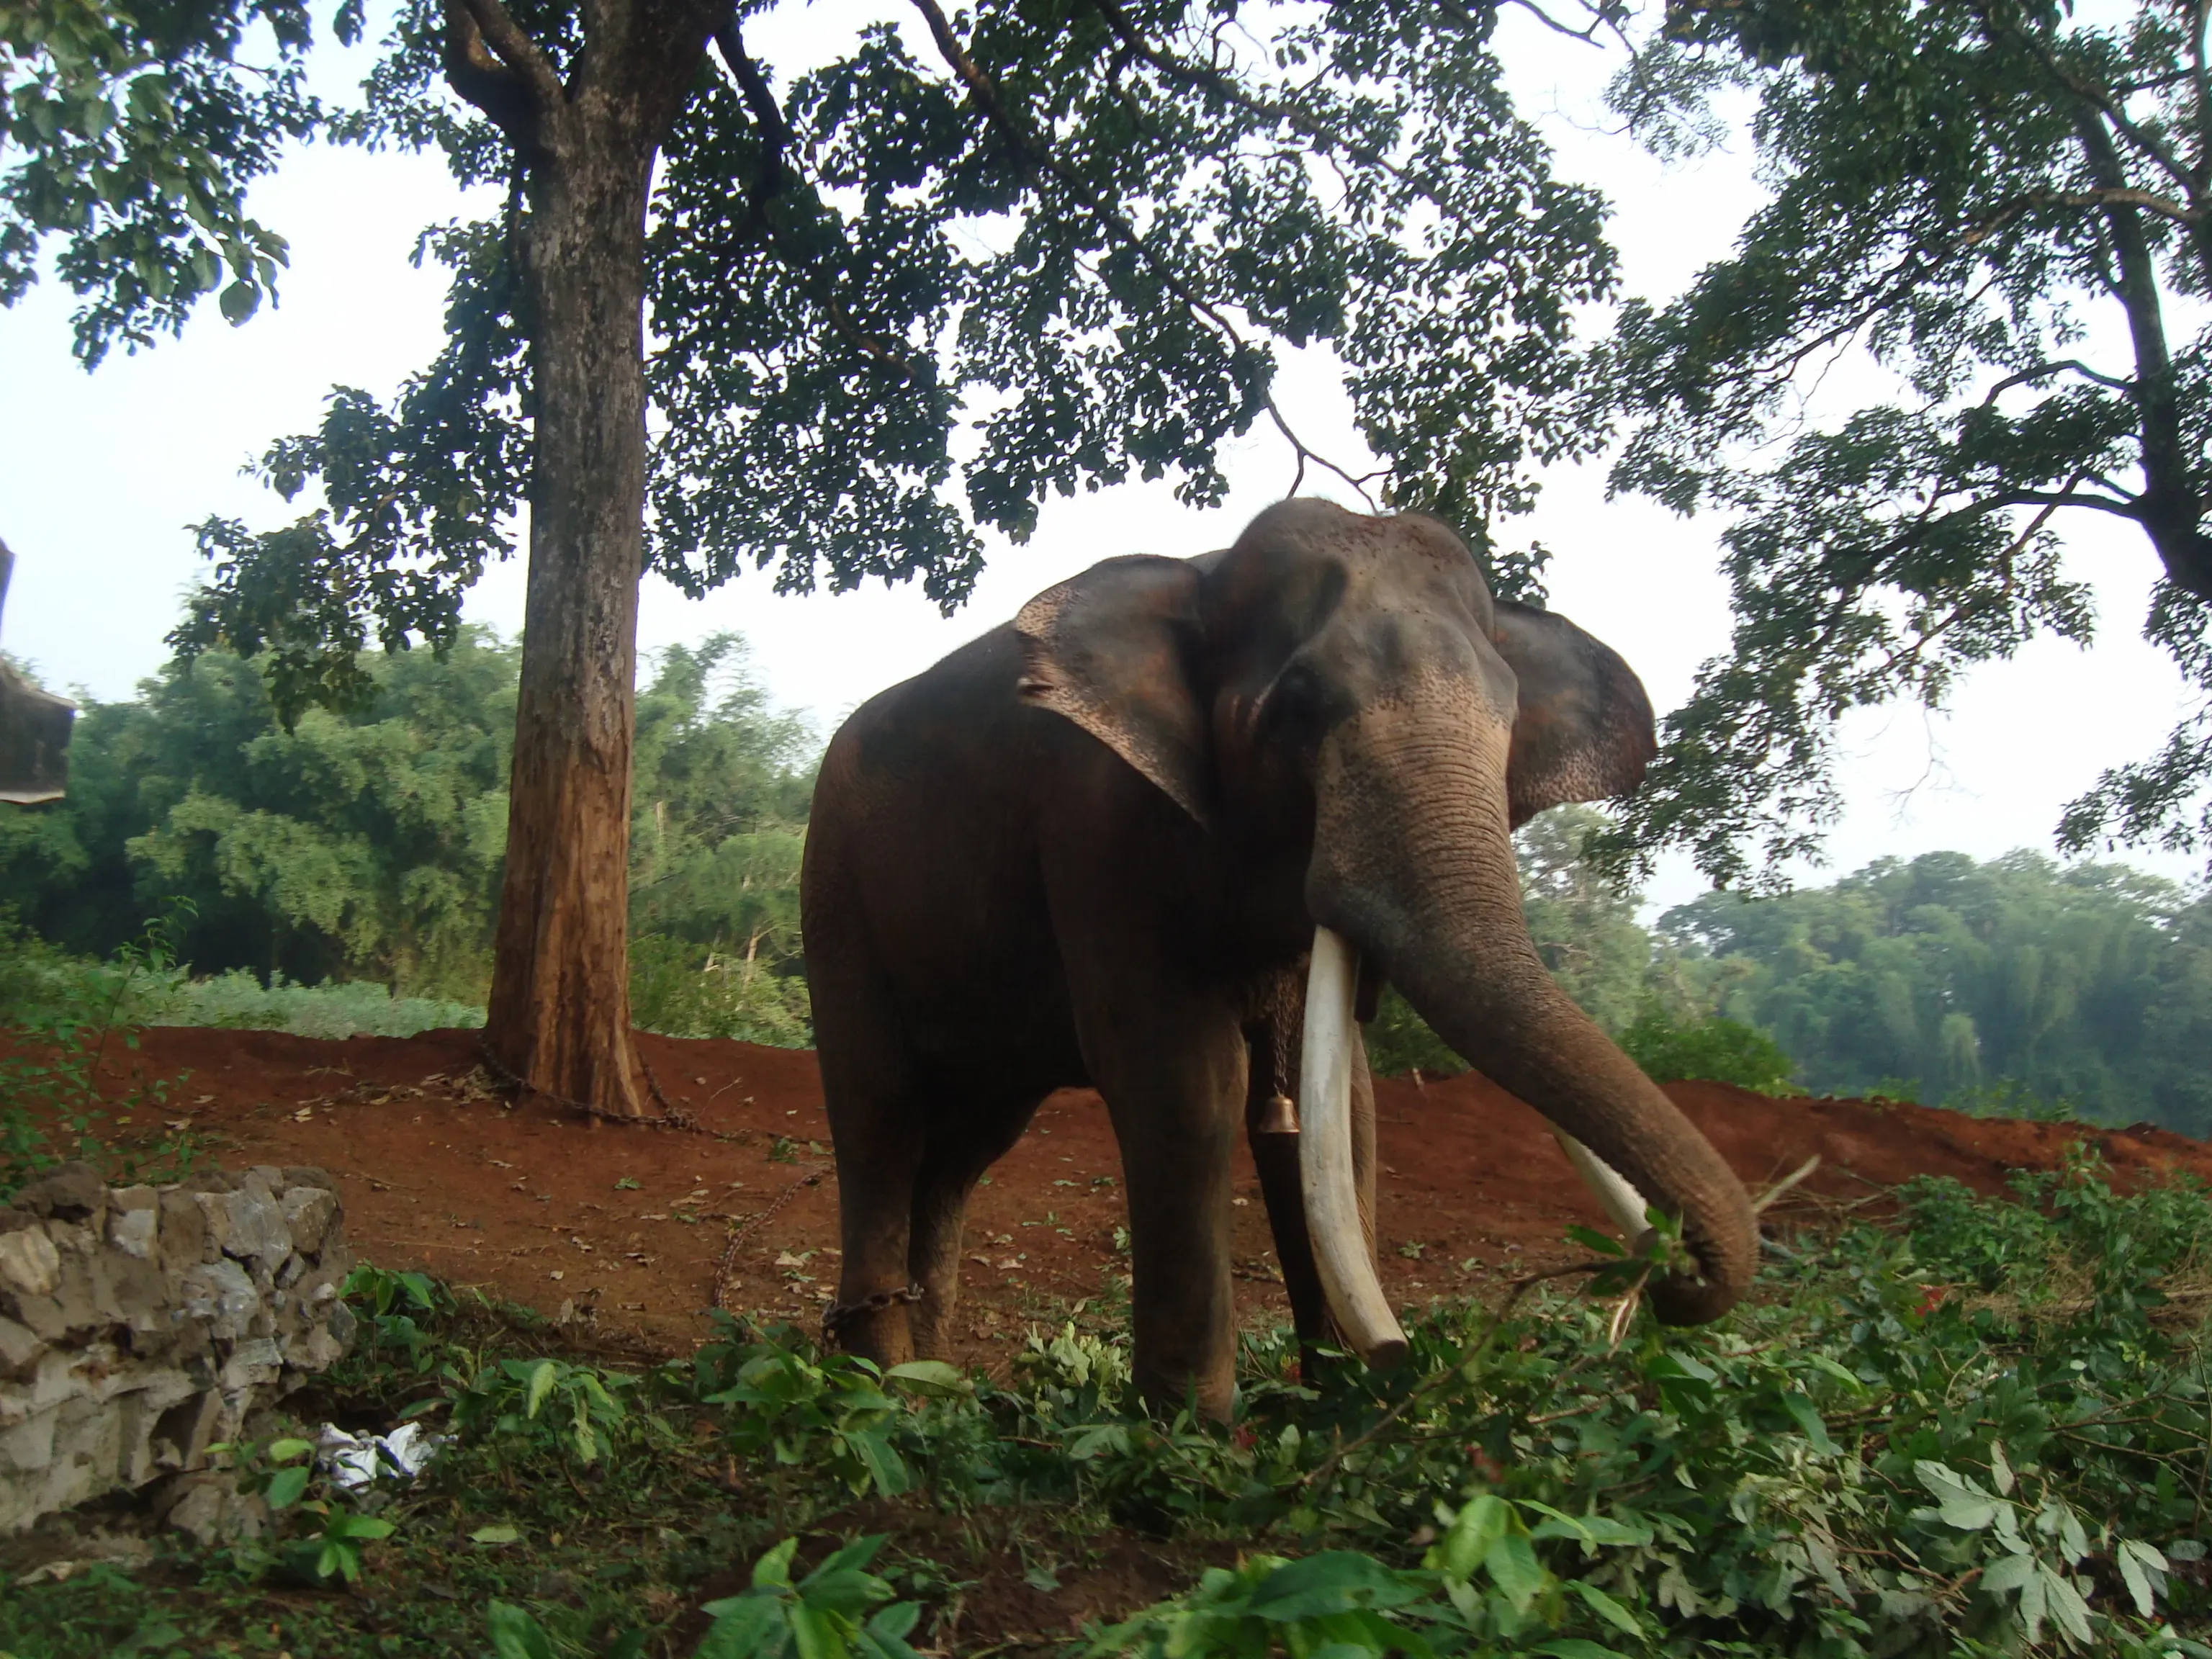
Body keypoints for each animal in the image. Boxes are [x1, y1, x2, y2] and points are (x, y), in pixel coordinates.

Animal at [800, 500, 1756, 1416]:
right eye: (1294, 711)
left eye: (1511, 720)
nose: (1672, 1278)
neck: (1206, 570)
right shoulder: (1096, 818)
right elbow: (1186, 1082)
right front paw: (1191, 1431)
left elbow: (1340, 1104)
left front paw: (1340, 1404)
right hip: (836, 894)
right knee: (881, 1114)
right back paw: (881, 1394)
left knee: (962, 1147)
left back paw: (935, 1386)